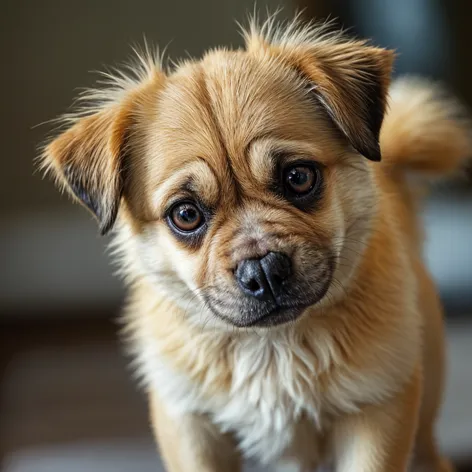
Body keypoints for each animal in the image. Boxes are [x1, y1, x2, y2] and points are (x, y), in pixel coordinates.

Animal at [42, 14, 470, 472]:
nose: (264, 270)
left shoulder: (377, 412)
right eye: (185, 215)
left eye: (299, 177)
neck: (271, 348)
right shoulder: (191, 426)